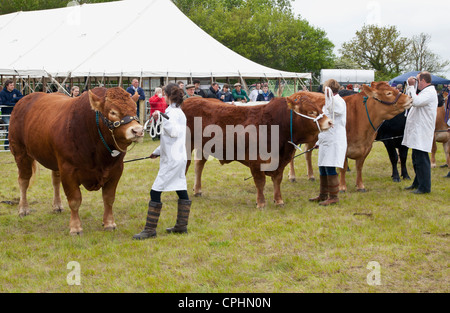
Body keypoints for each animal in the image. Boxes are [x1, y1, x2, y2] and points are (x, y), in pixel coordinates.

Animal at [181, 91, 332, 208]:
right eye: (311, 112)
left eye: (319, 109)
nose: (330, 122)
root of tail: (189, 100)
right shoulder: (256, 160)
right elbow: (260, 181)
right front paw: (261, 203)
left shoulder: (280, 161)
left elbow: (277, 179)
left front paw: (278, 200)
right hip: (187, 145)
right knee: (186, 166)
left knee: (199, 165)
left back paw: (197, 190)